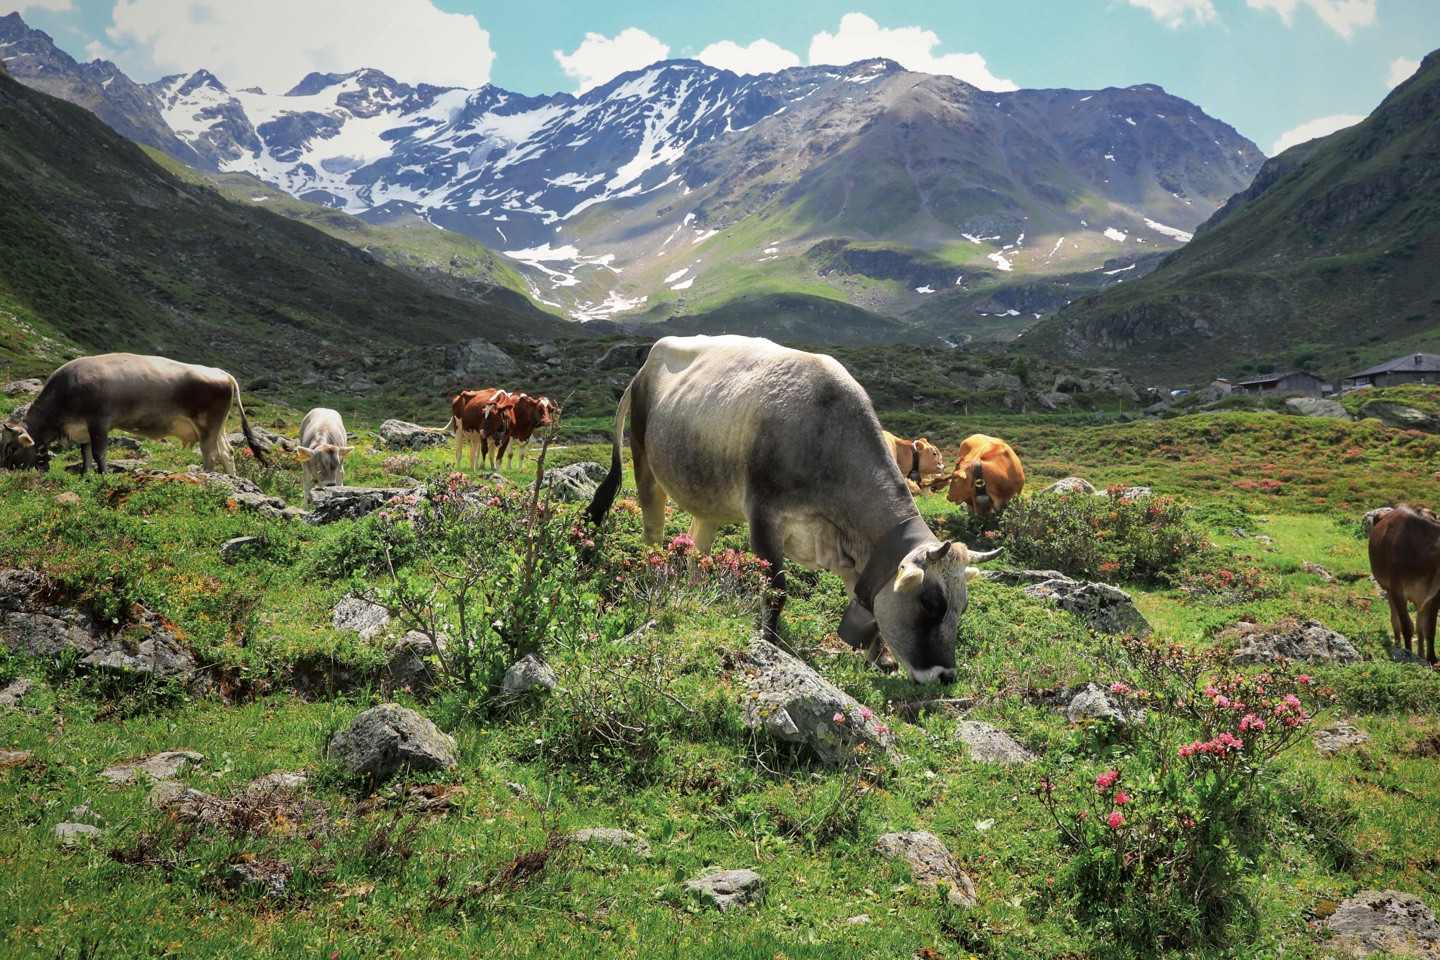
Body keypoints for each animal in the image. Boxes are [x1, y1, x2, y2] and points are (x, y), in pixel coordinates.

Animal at [0, 353, 267, 475]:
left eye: (11, 448)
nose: (4, 470)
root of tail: (222, 373)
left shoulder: (99, 422)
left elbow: (99, 453)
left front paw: (103, 474)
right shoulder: (83, 429)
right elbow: (85, 454)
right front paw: (86, 475)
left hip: (207, 425)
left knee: (210, 455)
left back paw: (208, 476)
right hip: (217, 427)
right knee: (227, 453)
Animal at [586, 335, 1000, 684]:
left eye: (962, 607)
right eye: (931, 604)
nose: (946, 676)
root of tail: (648, 361)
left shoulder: (849, 549)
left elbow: (864, 601)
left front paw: (880, 657)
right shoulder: (763, 513)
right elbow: (777, 589)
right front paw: (770, 642)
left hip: (706, 492)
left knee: (695, 549)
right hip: (644, 459)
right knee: (653, 533)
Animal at [1368, 503, 1440, 664]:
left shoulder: (1435, 593)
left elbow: (1429, 628)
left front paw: (1432, 659)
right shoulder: (1397, 590)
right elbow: (1407, 626)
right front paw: (1408, 653)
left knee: (1420, 625)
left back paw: (1421, 654)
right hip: (1388, 588)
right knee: (1395, 620)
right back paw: (1398, 645)